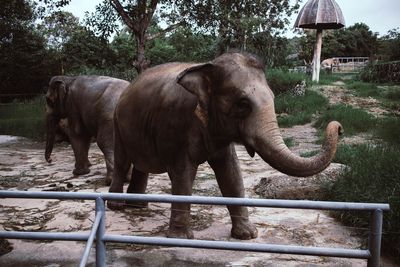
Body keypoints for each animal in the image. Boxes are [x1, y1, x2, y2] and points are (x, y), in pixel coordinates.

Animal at [109, 52, 344, 241]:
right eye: (243, 104)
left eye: (273, 97)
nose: (339, 127)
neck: (207, 66)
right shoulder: (175, 125)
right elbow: (183, 173)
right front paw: (180, 238)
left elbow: (231, 172)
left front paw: (248, 235)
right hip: (117, 124)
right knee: (122, 162)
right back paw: (116, 206)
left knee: (142, 166)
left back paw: (138, 206)